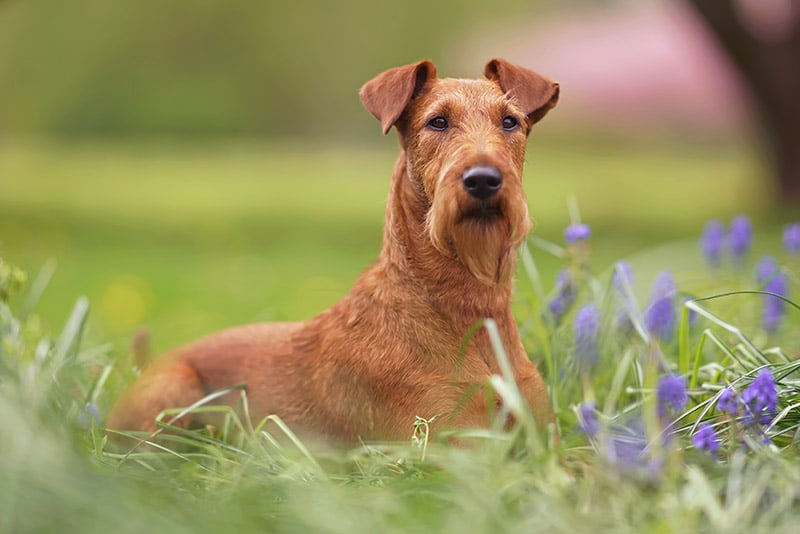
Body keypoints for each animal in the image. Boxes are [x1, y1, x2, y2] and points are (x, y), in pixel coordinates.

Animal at [106, 56, 560, 446]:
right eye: (438, 121)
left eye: (510, 121)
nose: (483, 179)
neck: (471, 309)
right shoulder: (446, 446)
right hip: (173, 393)